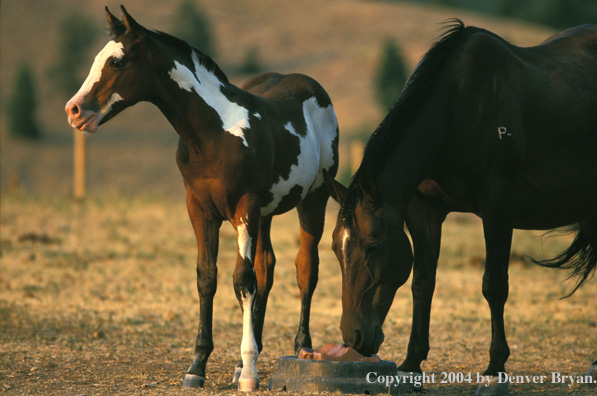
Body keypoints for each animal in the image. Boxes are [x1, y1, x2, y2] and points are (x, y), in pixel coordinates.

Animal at [66, 6, 338, 392]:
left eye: (117, 61)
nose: (74, 111)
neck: (214, 133)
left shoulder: (244, 207)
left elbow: (242, 279)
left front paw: (249, 372)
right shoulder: (199, 209)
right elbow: (208, 277)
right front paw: (198, 367)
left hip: (312, 201)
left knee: (306, 269)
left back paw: (301, 348)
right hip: (267, 213)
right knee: (267, 268)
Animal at [326, 19, 596, 392]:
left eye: (373, 247)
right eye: (336, 250)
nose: (354, 337)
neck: (459, 109)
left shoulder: (497, 207)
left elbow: (494, 285)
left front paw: (495, 367)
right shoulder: (423, 210)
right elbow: (422, 282)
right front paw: (411, 364)